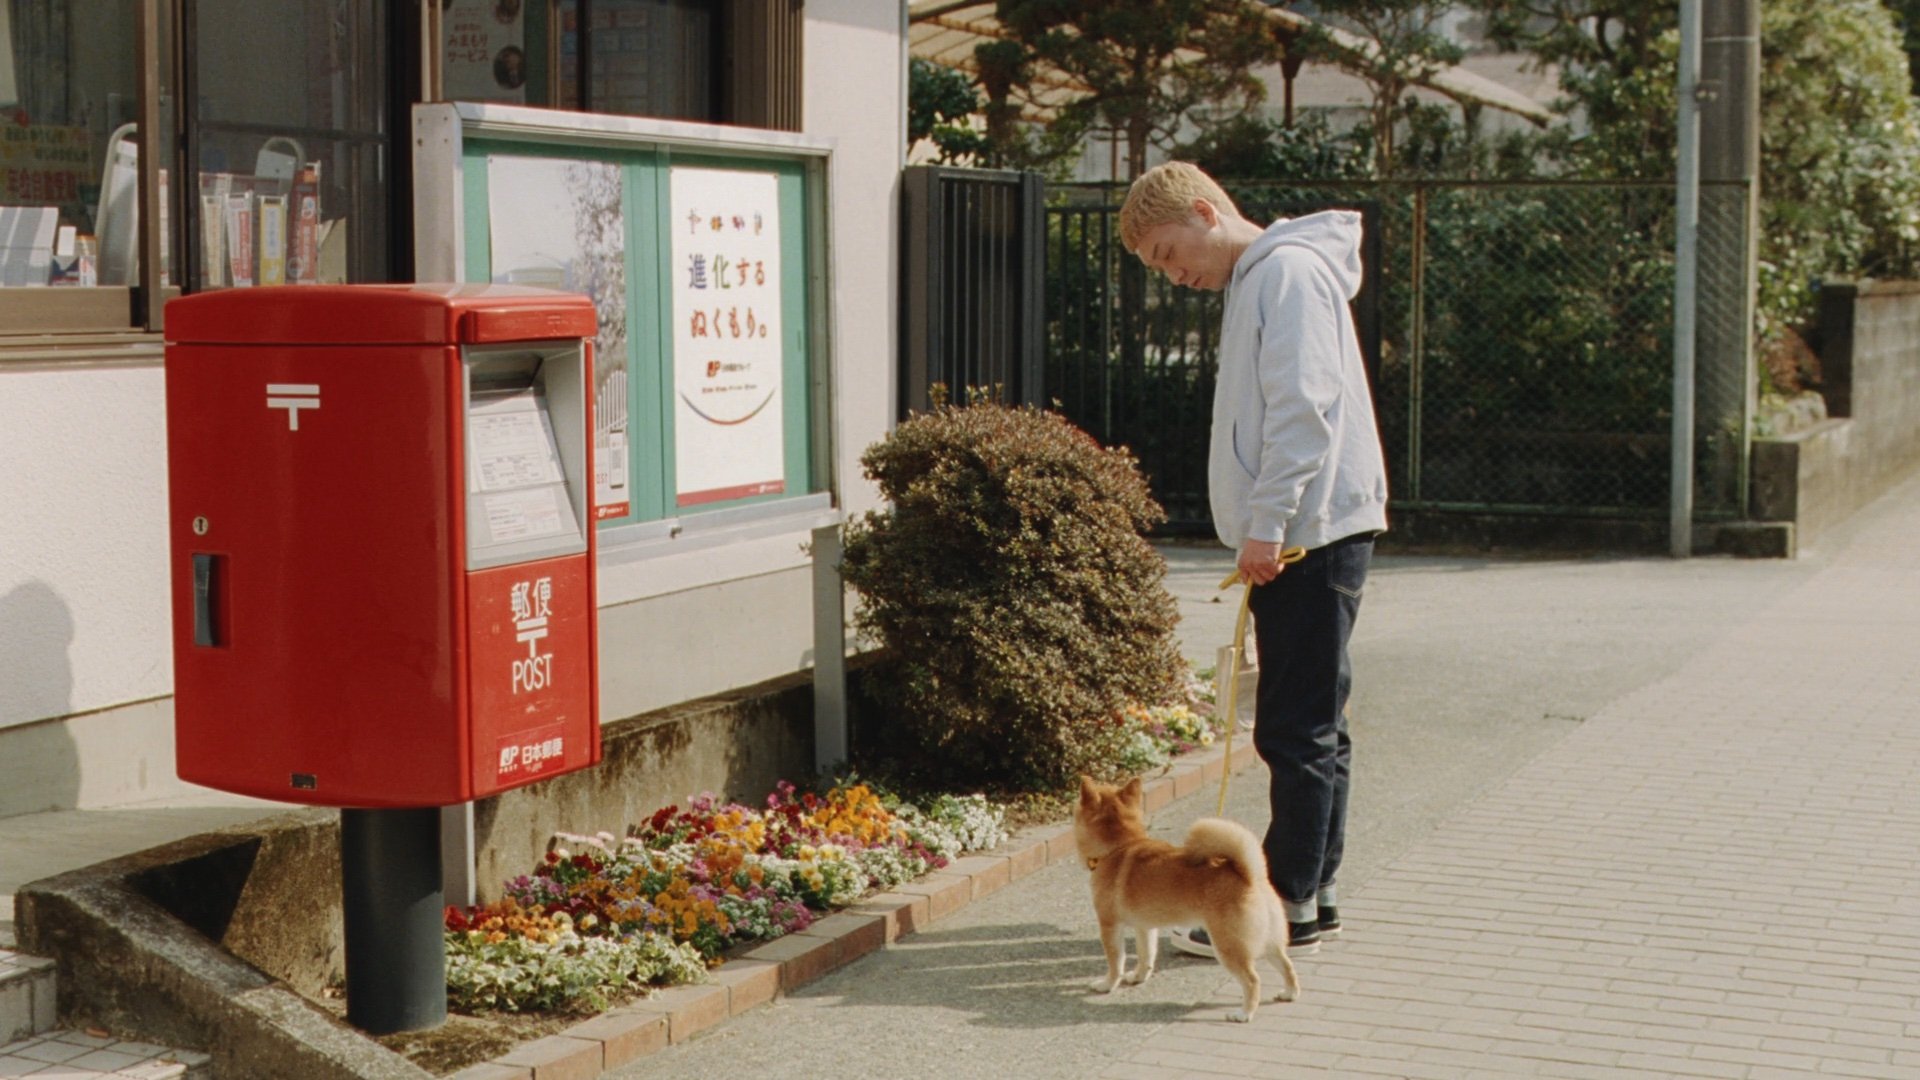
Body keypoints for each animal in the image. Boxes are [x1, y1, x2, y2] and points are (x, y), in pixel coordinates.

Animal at [1075, 772, 1297, 1014]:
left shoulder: (1110, 925)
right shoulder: (1145, 927)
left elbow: (1115, 961)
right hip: (1269, 941)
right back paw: (1289, 993)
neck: (1118, 847)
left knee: (1252, 980)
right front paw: (1138, 977)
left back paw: (1244, 1013)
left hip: (1229, 945)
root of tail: (1250, 875)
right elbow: (1146, 955)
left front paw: (1107, 985)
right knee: (1287, 965)